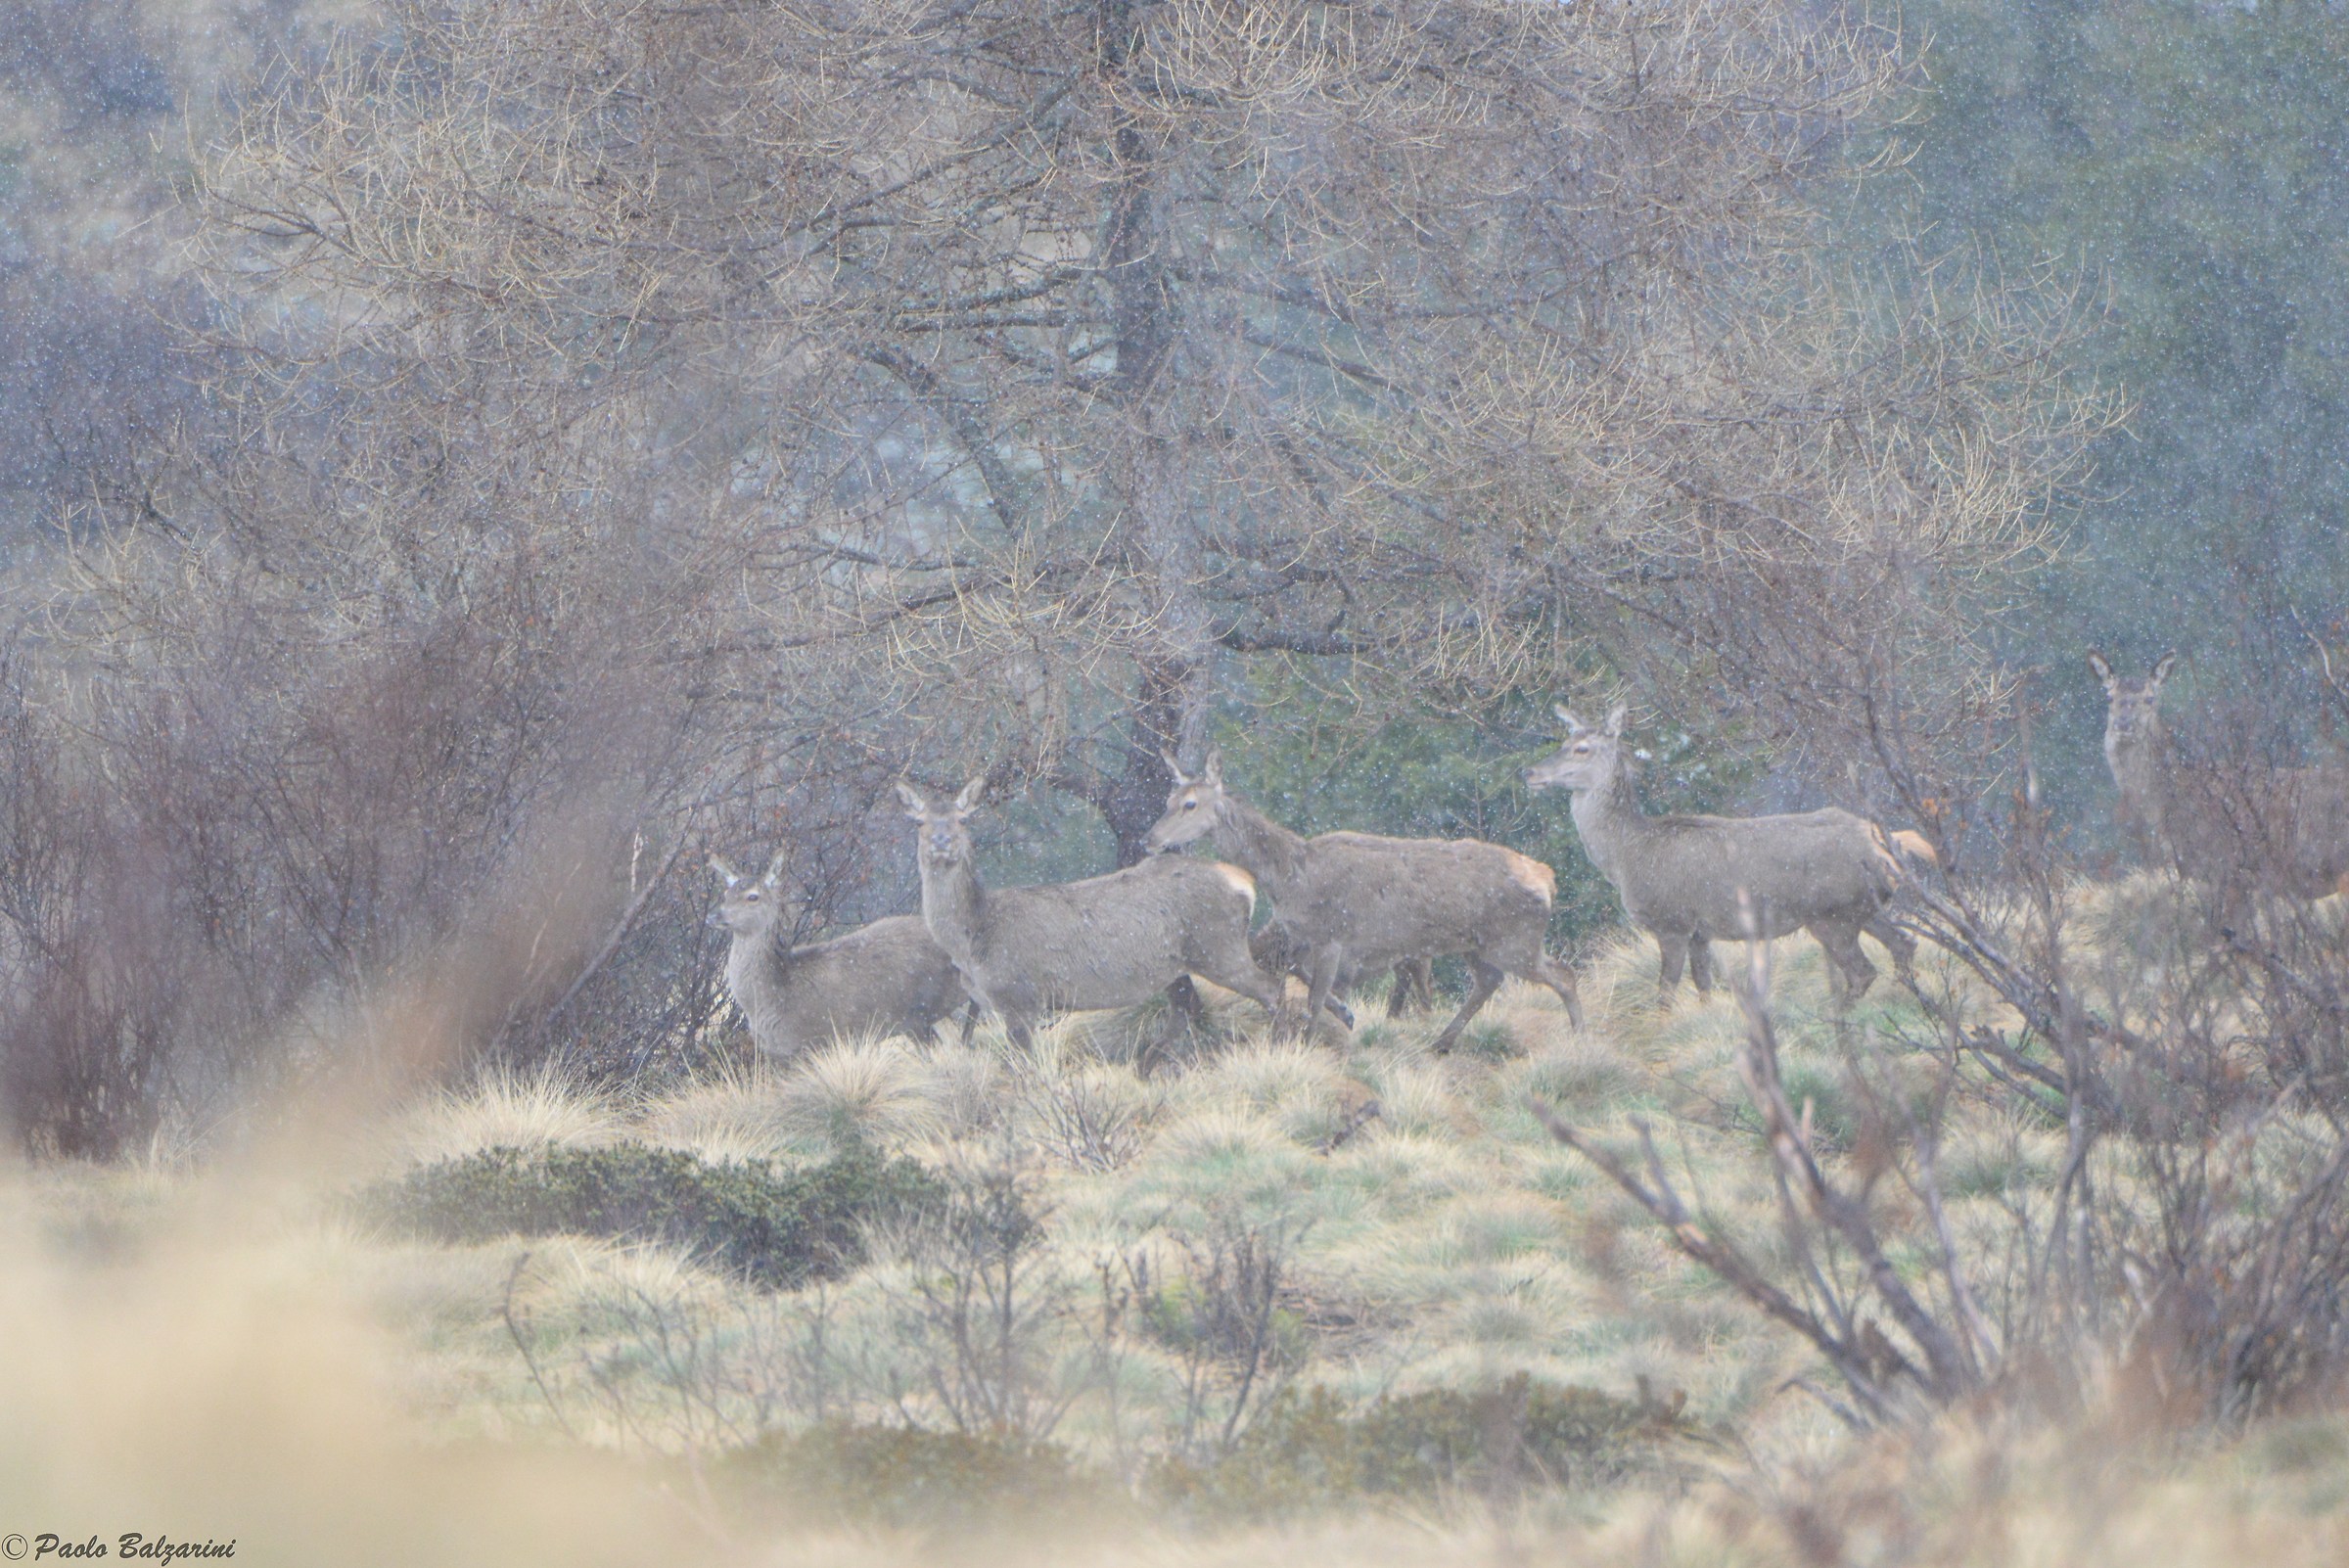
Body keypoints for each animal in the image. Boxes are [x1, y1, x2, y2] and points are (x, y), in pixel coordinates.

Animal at [895, 778, 1288, 1052]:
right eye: (919, 822)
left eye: (963, 819)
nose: (942, 841)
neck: (973, 936)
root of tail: (1242, 880)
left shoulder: (1021, 996)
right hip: (1189, 963)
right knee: (1192, 1011)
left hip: (1220, 949)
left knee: (1272, 988)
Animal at [1143, 747, 1583, 1053]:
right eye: (1167, 801)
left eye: (1190, 804)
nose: (1150, 838)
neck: (1290, 879)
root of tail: (1547, 878)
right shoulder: (1310, 939)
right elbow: (1305, 980)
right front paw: (1347, 1015)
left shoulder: (1334, 935)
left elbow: (1313, 999)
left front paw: (1309, 1042)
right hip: (1477, 943)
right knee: (1490, 981)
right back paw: (1441, 1041)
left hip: (1515, 939)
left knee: (1563, 974)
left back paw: (1581, 1036)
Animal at [1524, 705, 1927, 1006]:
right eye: (1565, 740)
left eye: (1582, 748)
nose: (1530, 772)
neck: (1627, 855)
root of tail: (1884, 844)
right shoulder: (1700, 933)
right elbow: (1704, 988)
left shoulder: (1672, 922)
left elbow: (1665, 991)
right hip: (1866, 907)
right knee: (1905, 944)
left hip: (1830, 914)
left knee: (1863, 970)